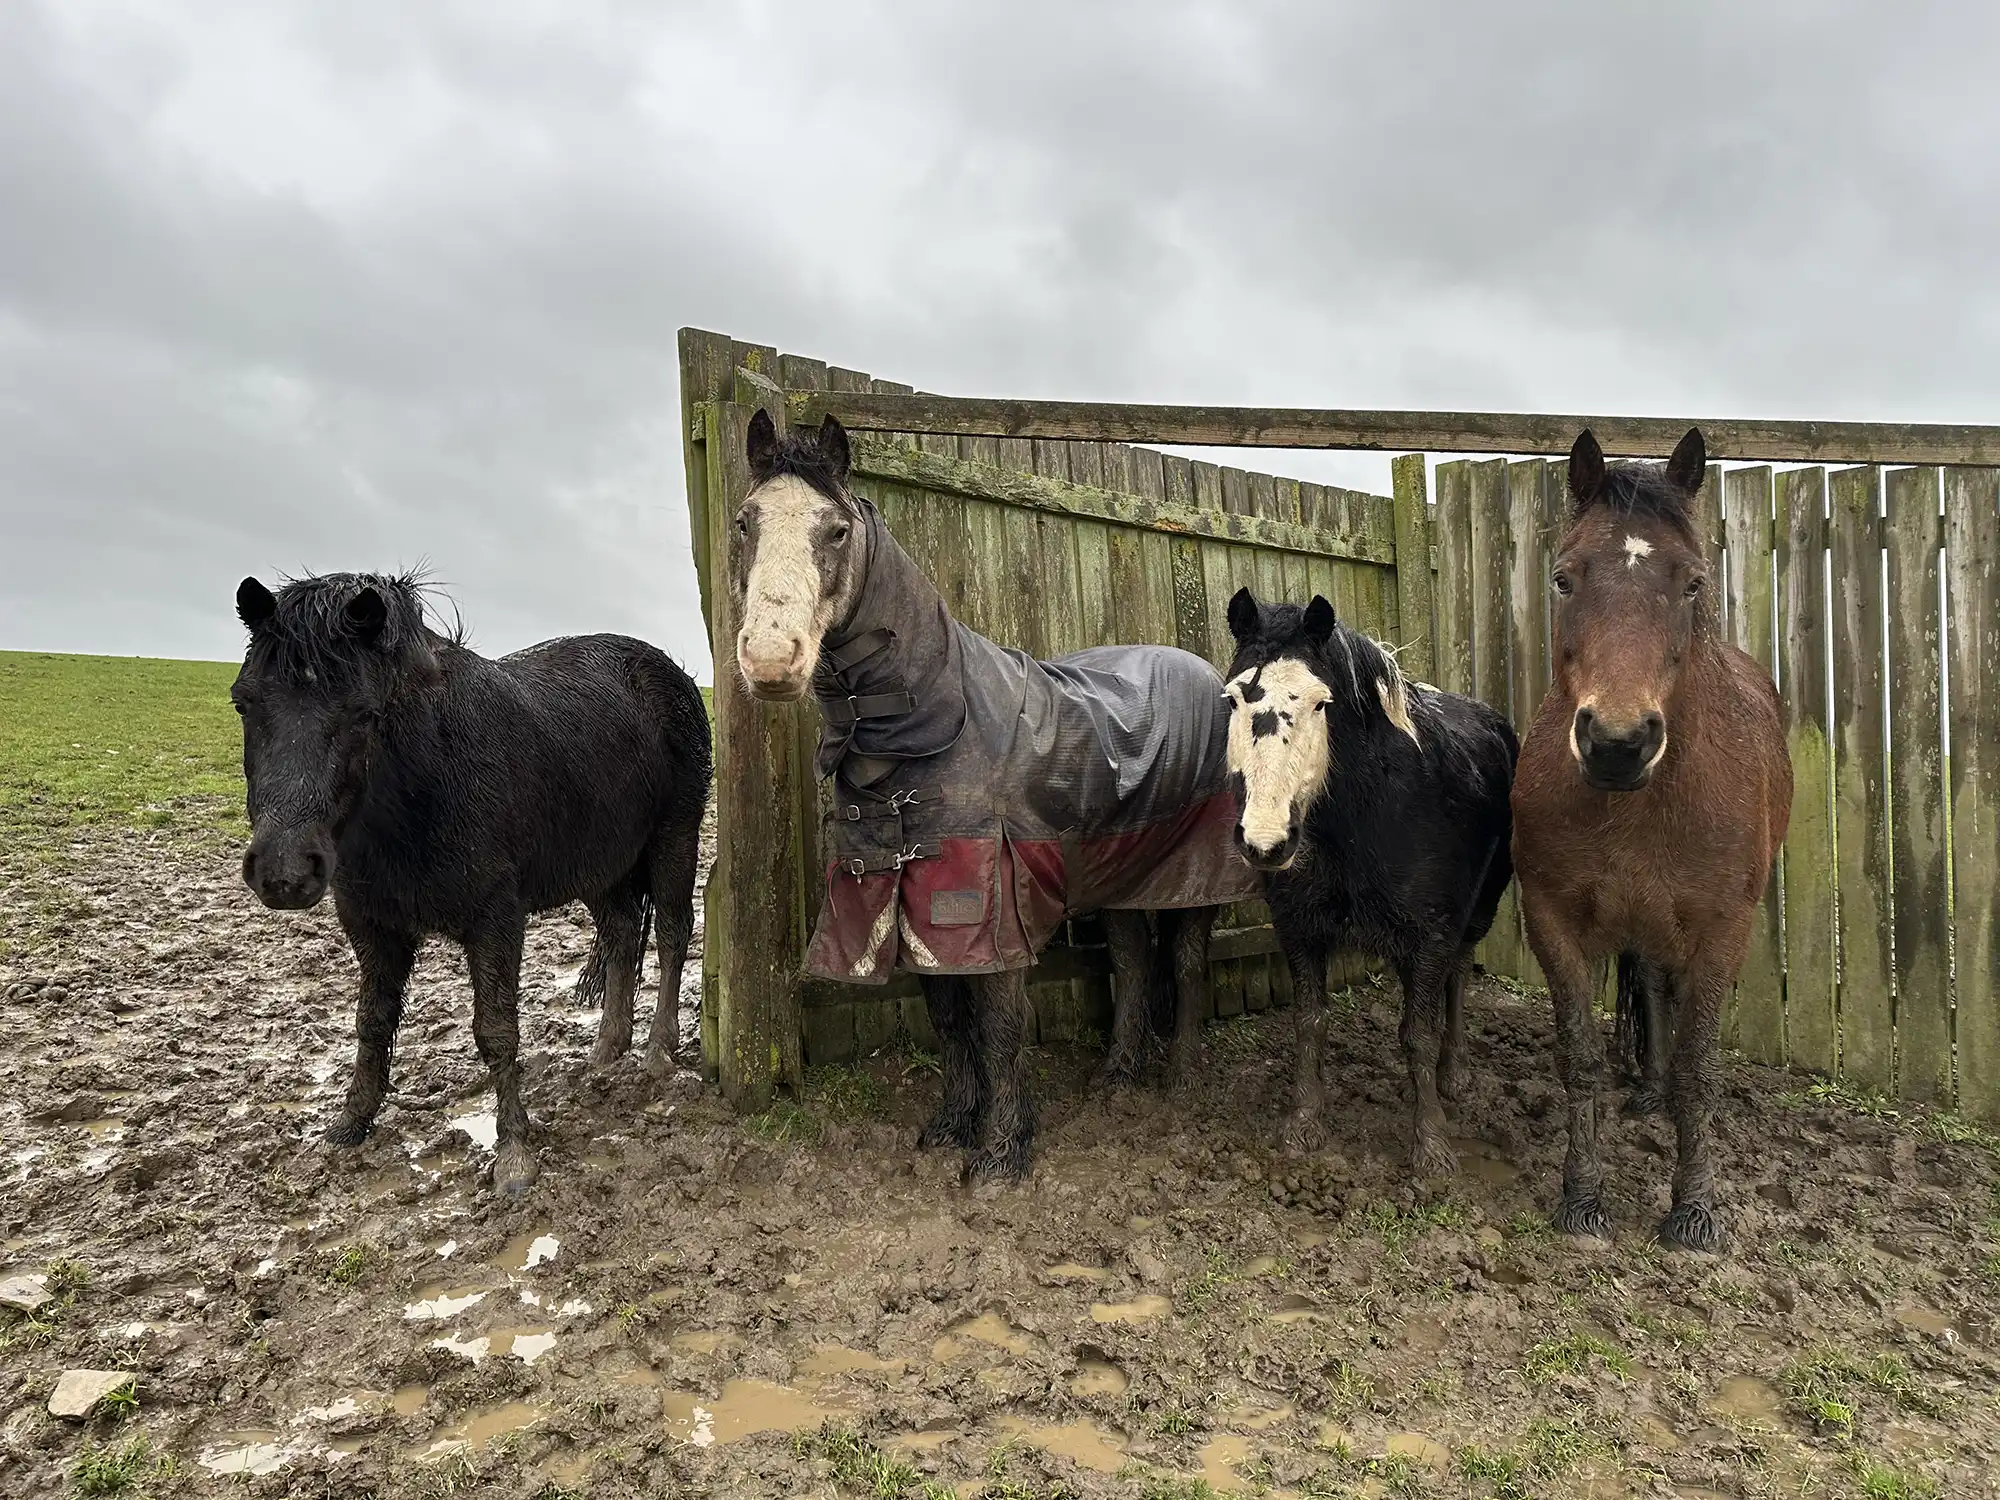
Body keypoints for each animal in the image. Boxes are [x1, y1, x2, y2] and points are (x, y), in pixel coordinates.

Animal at [232, 572, 711, 1195]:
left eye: (363, 713)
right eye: (244, 702)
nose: (284, 872)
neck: (424, 777)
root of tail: (671, 673)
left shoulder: (495, 919)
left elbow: (496, 1030)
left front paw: (515, 1155)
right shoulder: (373, 926)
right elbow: (371, 1022)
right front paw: (350, 1124)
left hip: (674, 837)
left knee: (674, 933)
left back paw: (657, 1050)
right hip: (602, 865)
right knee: (625, 933)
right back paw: (607, 1049)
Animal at [731, 411, 1257, 1180]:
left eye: (836, 530)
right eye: (745, 522)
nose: (772, 660)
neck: (934, 725)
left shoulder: (987, 904)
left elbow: (1000, 1025)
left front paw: (1002, 1155)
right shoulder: (911, 900)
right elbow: (952, 1023)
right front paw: (953, 1125)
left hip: (1196, 879)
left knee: (1186, 964)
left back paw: (1181, 1080)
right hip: (1121, 875)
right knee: (1132, 960)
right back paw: (1116, 1077)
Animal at [1222, 588, 1518, 1174]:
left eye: (1320, 704)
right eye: (1234, 701)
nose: (1266, 840)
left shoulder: (1431, 933)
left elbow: (1419, 1034)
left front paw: (1431, 1148)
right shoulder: (1299, 928)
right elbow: (1310, 1022)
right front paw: (1304, 1122)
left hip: (1480, 908)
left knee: (1458, 979)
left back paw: (1454, 1075)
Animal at [1511, 428, 1791, 1251]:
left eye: (1693, 584)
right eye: (1565, 579)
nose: (1618, 742)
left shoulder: (1722, 930)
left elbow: (1700, 1066)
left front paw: (1694, 1211)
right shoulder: (1552, 920)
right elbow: (1578, 1057)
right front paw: (1582, 1200)